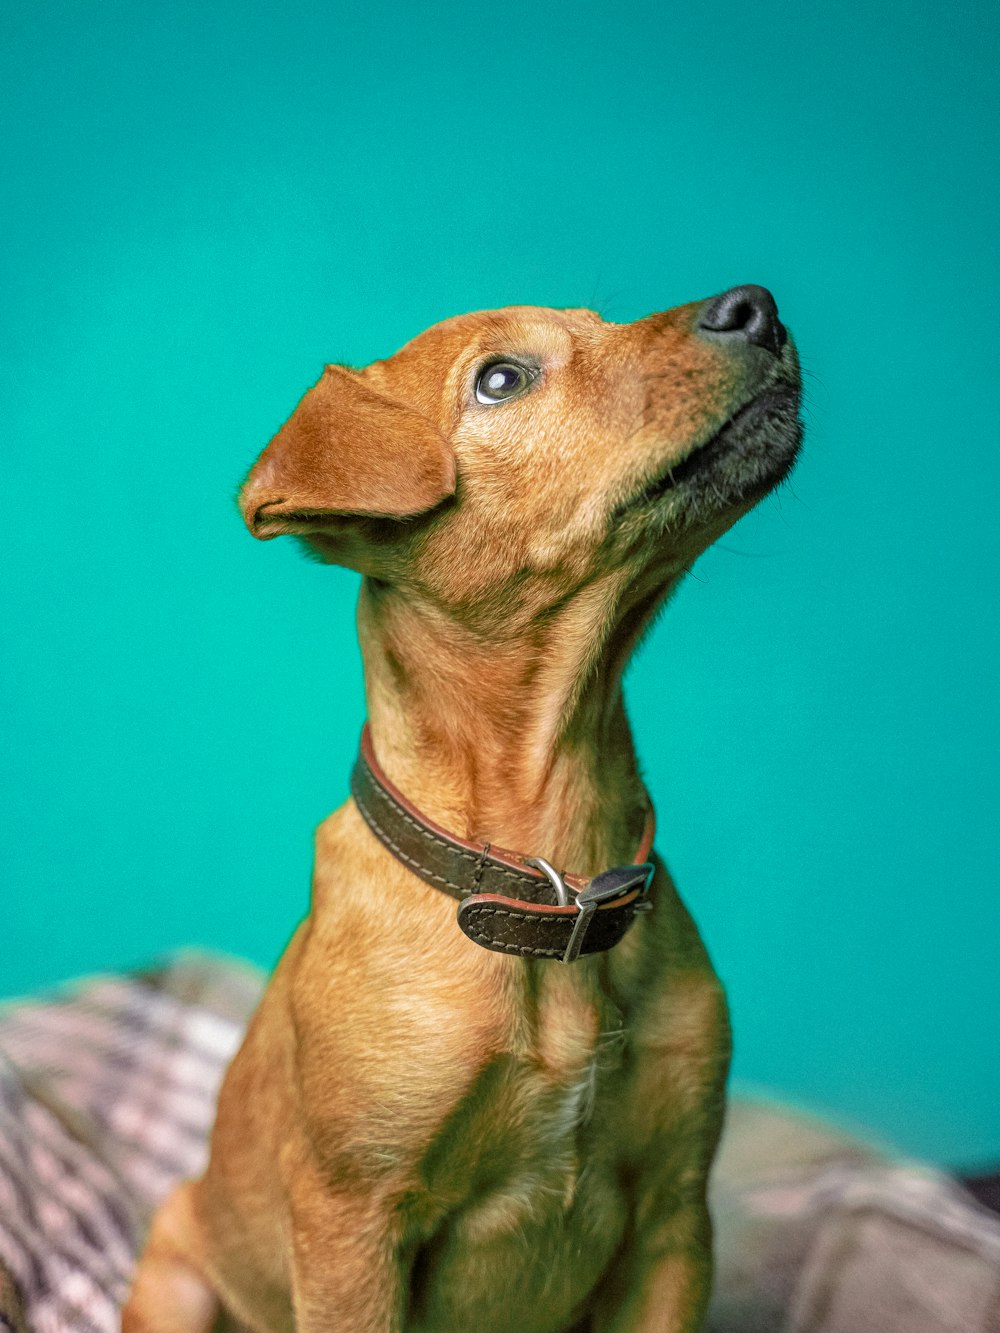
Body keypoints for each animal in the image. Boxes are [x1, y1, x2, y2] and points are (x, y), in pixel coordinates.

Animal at [121, 286, 805, 1327]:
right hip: (177, 1270)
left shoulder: (675, 1222)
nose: (755, 305)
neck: (552, 879)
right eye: (500, 380)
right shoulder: (352, 1227)